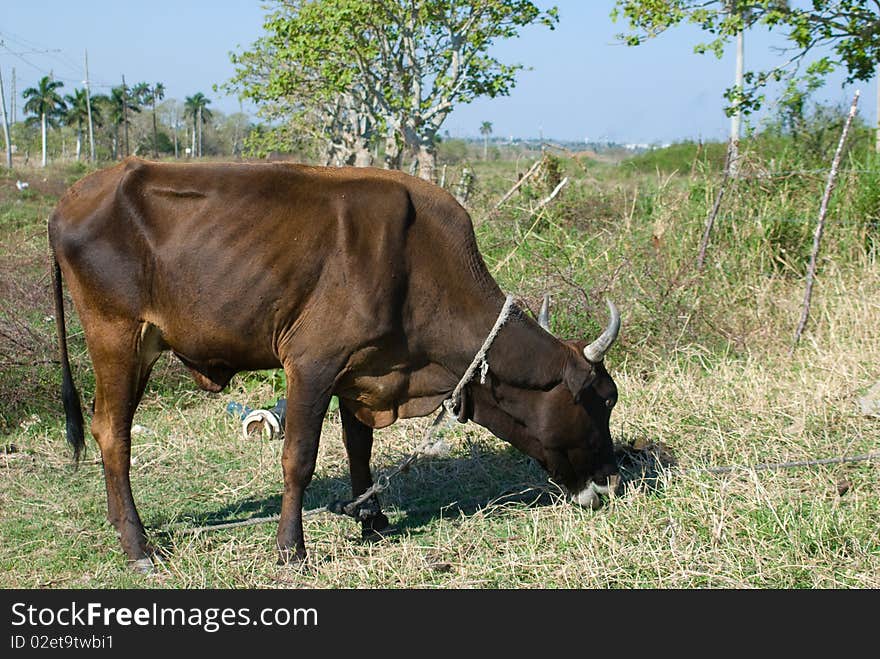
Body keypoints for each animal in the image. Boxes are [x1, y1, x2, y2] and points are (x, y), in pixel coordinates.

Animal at [48, 159, 624, 572]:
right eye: (602, 401)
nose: (613, 483)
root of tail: (74, 197)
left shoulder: (363, 371)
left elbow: (358, 447)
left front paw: (372, 518)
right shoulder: (313, 364)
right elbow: (299, 458)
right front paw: (291, 549)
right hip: (117, 337)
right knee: (112, 433)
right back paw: (138, 546)